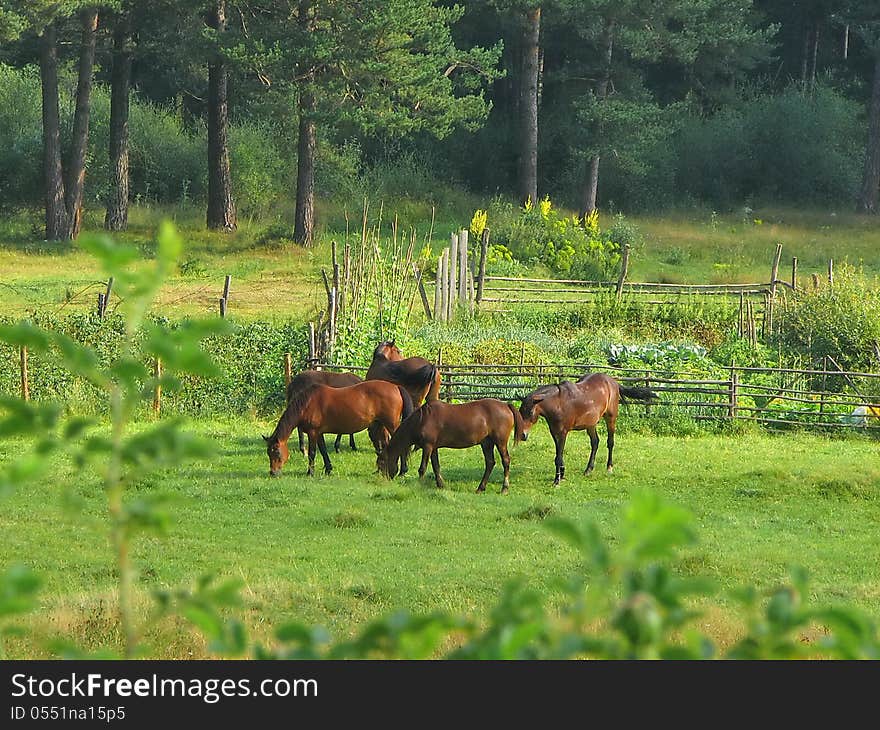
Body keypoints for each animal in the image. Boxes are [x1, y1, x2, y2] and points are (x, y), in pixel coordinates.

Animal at [264, 376, 412, 478]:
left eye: (276, 452)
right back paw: (382, 470)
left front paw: (310, 472)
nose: (273, 473)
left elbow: (312, 453)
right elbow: (323, 450)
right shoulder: (319, 433)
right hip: (381, 425)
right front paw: (328, 469)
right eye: (268, 453)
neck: (307, 404)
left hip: (391, 425)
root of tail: (396, 387)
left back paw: (402, 471)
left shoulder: (312, 433)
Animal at [378, 398, 524, 494]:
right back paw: (480, 488)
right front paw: (441, 485)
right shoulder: (433, 448)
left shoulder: (428, 446)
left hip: (500, 442)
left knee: (505, 461)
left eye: (382, 462)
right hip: (486, 443)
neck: (422, 419)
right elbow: (436, 467)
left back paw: (504, 488)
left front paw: (419, 485)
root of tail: (506, 405)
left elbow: (422, 468)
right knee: (490, 463)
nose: (383, 480)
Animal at [520, 372, 656, 486]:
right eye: (520, 411)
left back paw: (609, 467)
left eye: (530, 412)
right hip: (591, 424)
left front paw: (557, 481)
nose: (523, 435)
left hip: (610, 418)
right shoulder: (554, 432)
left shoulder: (563, 432)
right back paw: (588, 469)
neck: (558, 403)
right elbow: (558, 454)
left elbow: (559, 457)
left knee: (610, 442)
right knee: (595, 442)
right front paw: (562, 474)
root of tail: (613, 382)